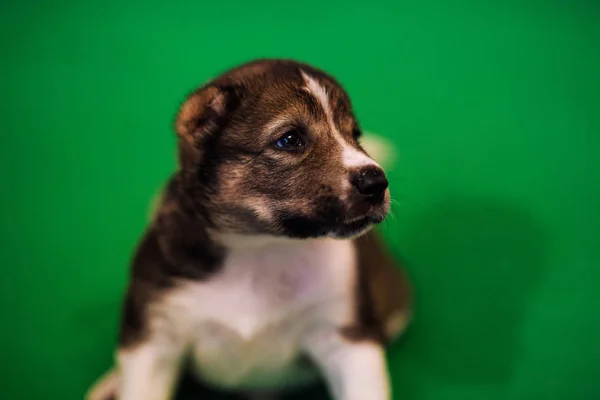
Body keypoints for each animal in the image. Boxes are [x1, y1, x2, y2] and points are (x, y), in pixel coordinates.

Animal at [85, 59, 412, 400]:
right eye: (290, 139)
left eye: (354, 134)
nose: (376, 182)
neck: (258, 248)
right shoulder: (155, 337)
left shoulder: (348, 338)